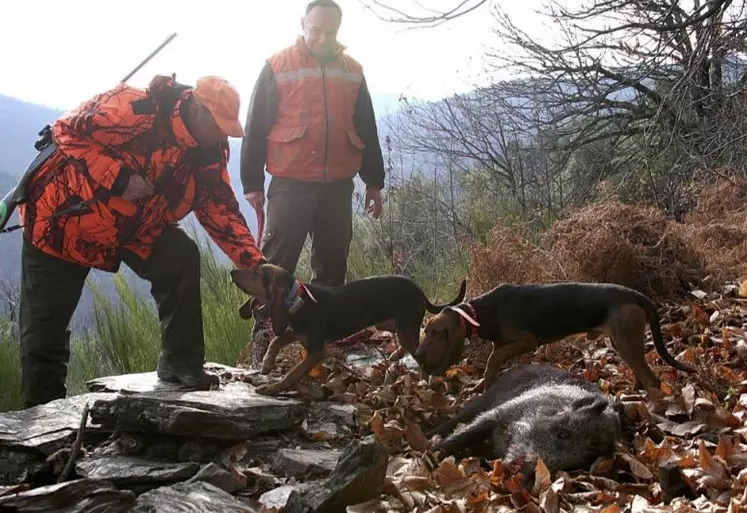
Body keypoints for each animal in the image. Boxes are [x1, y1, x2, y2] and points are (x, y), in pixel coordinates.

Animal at [231, 264, 464, 396]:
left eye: (257, 273)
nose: (232, 271)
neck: (296, 300)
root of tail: (419, 290)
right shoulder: (296, 333)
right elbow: (275, 341)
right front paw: (267, 363)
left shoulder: (316, 350)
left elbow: (291, 374)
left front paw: (271, 388)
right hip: (389, 324)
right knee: (408, 345)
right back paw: (395, 355)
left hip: (406, 325)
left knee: (418, 353)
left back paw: (424, 380)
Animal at [418, 282, 700, 390]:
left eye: (435, 332)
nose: (418, 355)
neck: (481, 312)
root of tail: (635, 294)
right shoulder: (503, 344)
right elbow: (492, 362)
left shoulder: (526, 341)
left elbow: (492, 361)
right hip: (623, 343)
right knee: (641, 375)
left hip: (626, 342)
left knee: (652, 380)